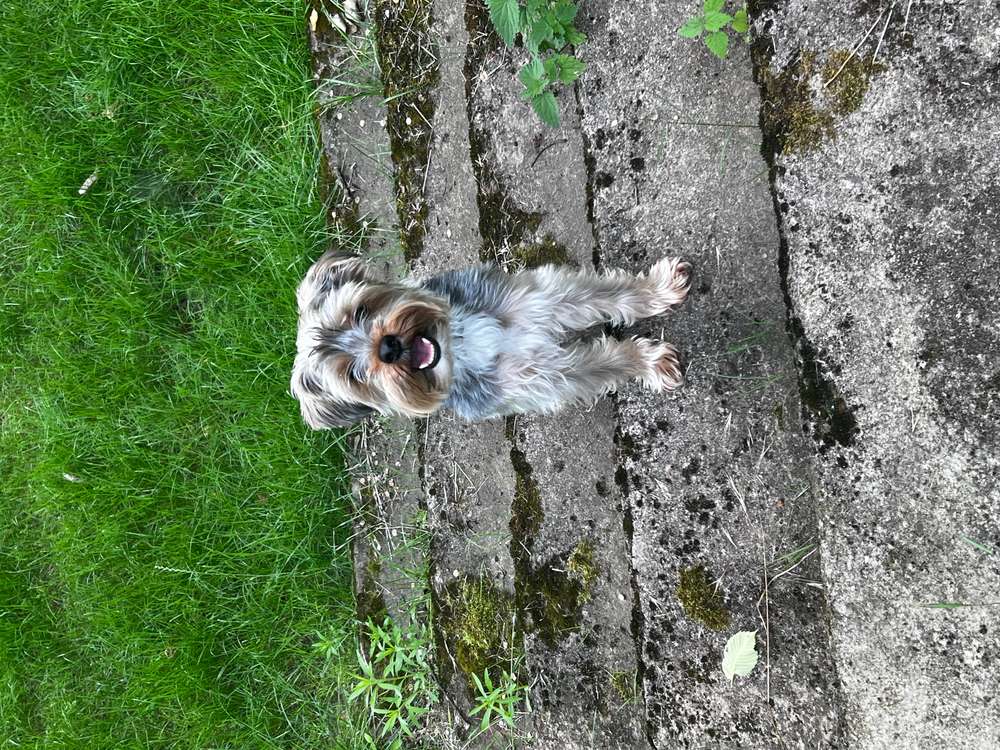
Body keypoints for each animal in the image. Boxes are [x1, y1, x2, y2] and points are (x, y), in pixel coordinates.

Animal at [290, 251, 692, 427]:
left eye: (360, 310)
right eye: (353, 376)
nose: (388, 347)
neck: (460, 344)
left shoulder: (544, 298)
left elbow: (610, 296)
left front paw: (657, 290)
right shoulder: (544, 377)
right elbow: (606, 361)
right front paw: (646, 362)